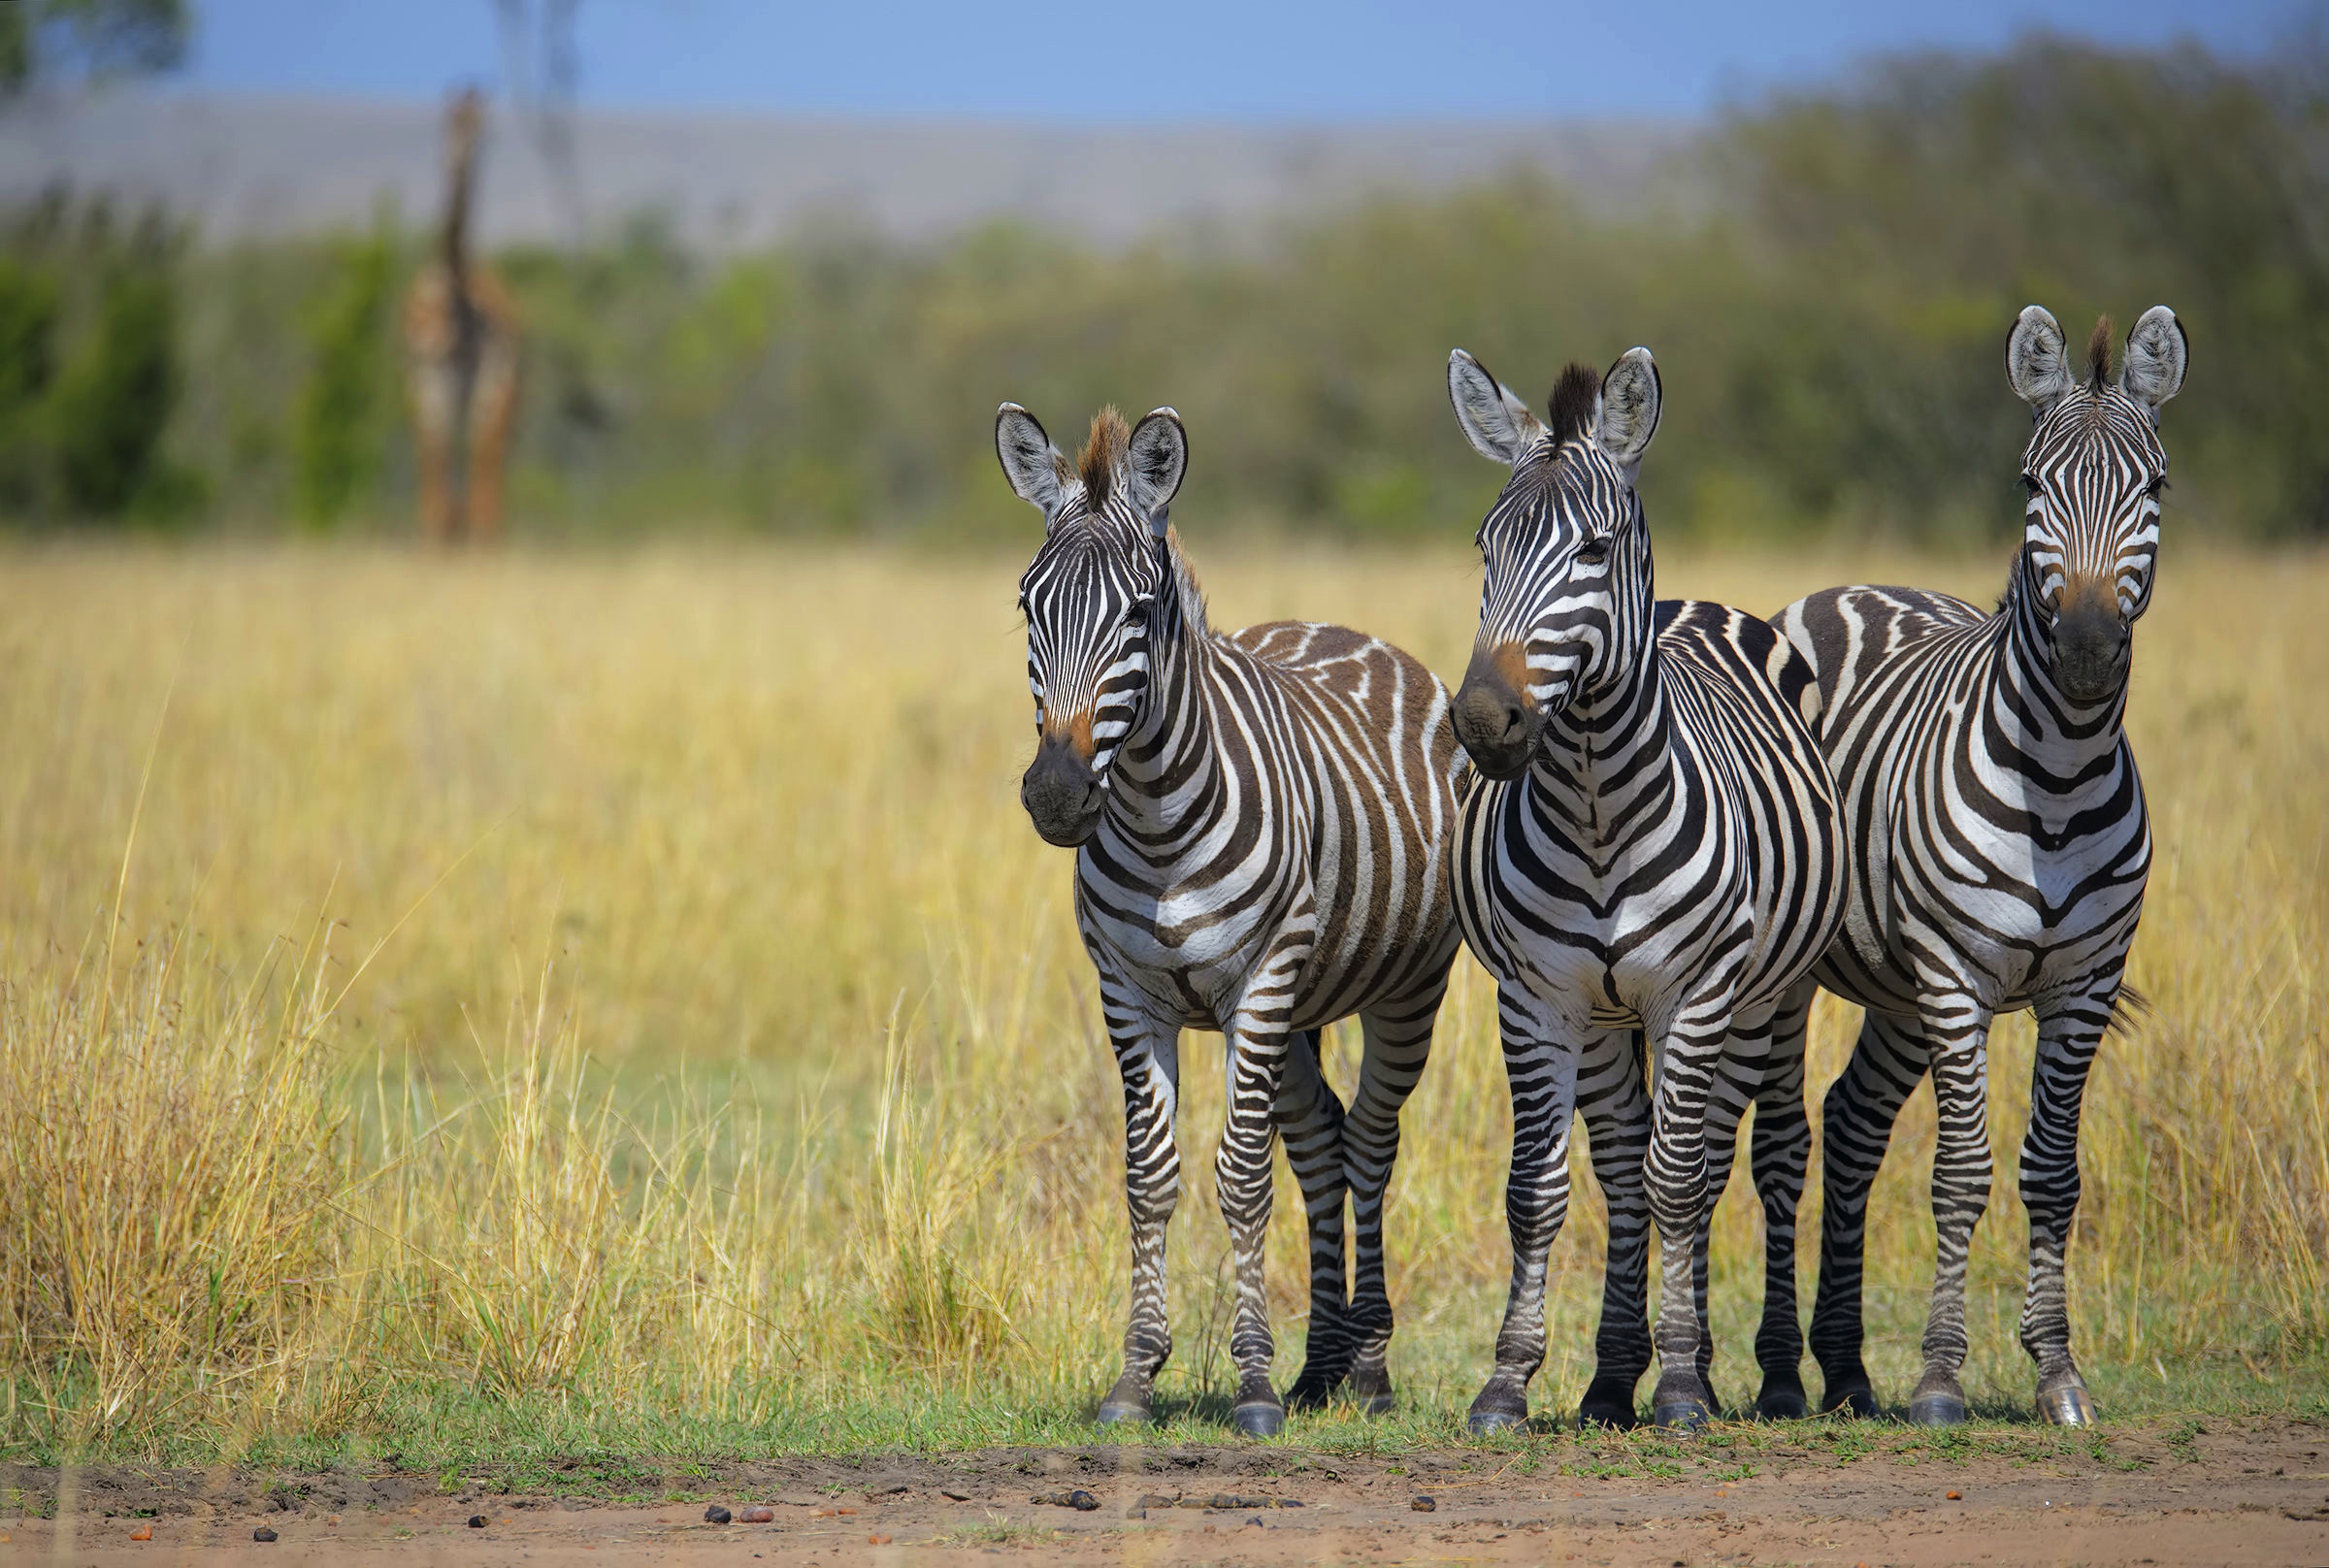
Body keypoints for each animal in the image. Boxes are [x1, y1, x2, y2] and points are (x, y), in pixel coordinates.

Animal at [992, 393, 1462, 1435]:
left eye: (1138, 611)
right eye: (1028, 607)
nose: (1055, 797)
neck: (1158, 815)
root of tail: (1338, 627)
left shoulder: (1262, 980)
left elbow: (1243, 1174)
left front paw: (1251, 1383)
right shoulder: (1127, 992)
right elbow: (1150, 1175)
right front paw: (1136, 1376)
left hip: (1398, 990)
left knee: (1371, 1142)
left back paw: (1369, 1368)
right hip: (1299, 1013)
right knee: (1323, 1142)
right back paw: (1321, 1365)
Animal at [1444, 349, 1844, 1425]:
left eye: (1592, 546)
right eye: (1484, 548)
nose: (1483, 722)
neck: (1596, 807)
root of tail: (1694, 603)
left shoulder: (1693, 993)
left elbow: (1681, 1179)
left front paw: (1684, 1386)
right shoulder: (1536, 997)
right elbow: (1540, 1189)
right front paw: (1509, 1381)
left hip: (1771, 996)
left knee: (1739, 1158)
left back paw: (1751, 1373)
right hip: (1607, 1016)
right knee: (1628, 1162)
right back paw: (1613, 1379)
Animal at [1779, 300, 2180, 1425]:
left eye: (2156, 488)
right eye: (2032, 485)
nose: (2085, 648)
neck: (2059, 774)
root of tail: (1853, 586)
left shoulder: (2088, 981)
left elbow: (2052, 1172)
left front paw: (2058, 1373)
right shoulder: (1956, 974)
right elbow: (1962, 1171)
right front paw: (1940, 1378)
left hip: (1898, 988)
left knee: (1852, 1119)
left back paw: (1846, 1367)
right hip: (1826, 977)